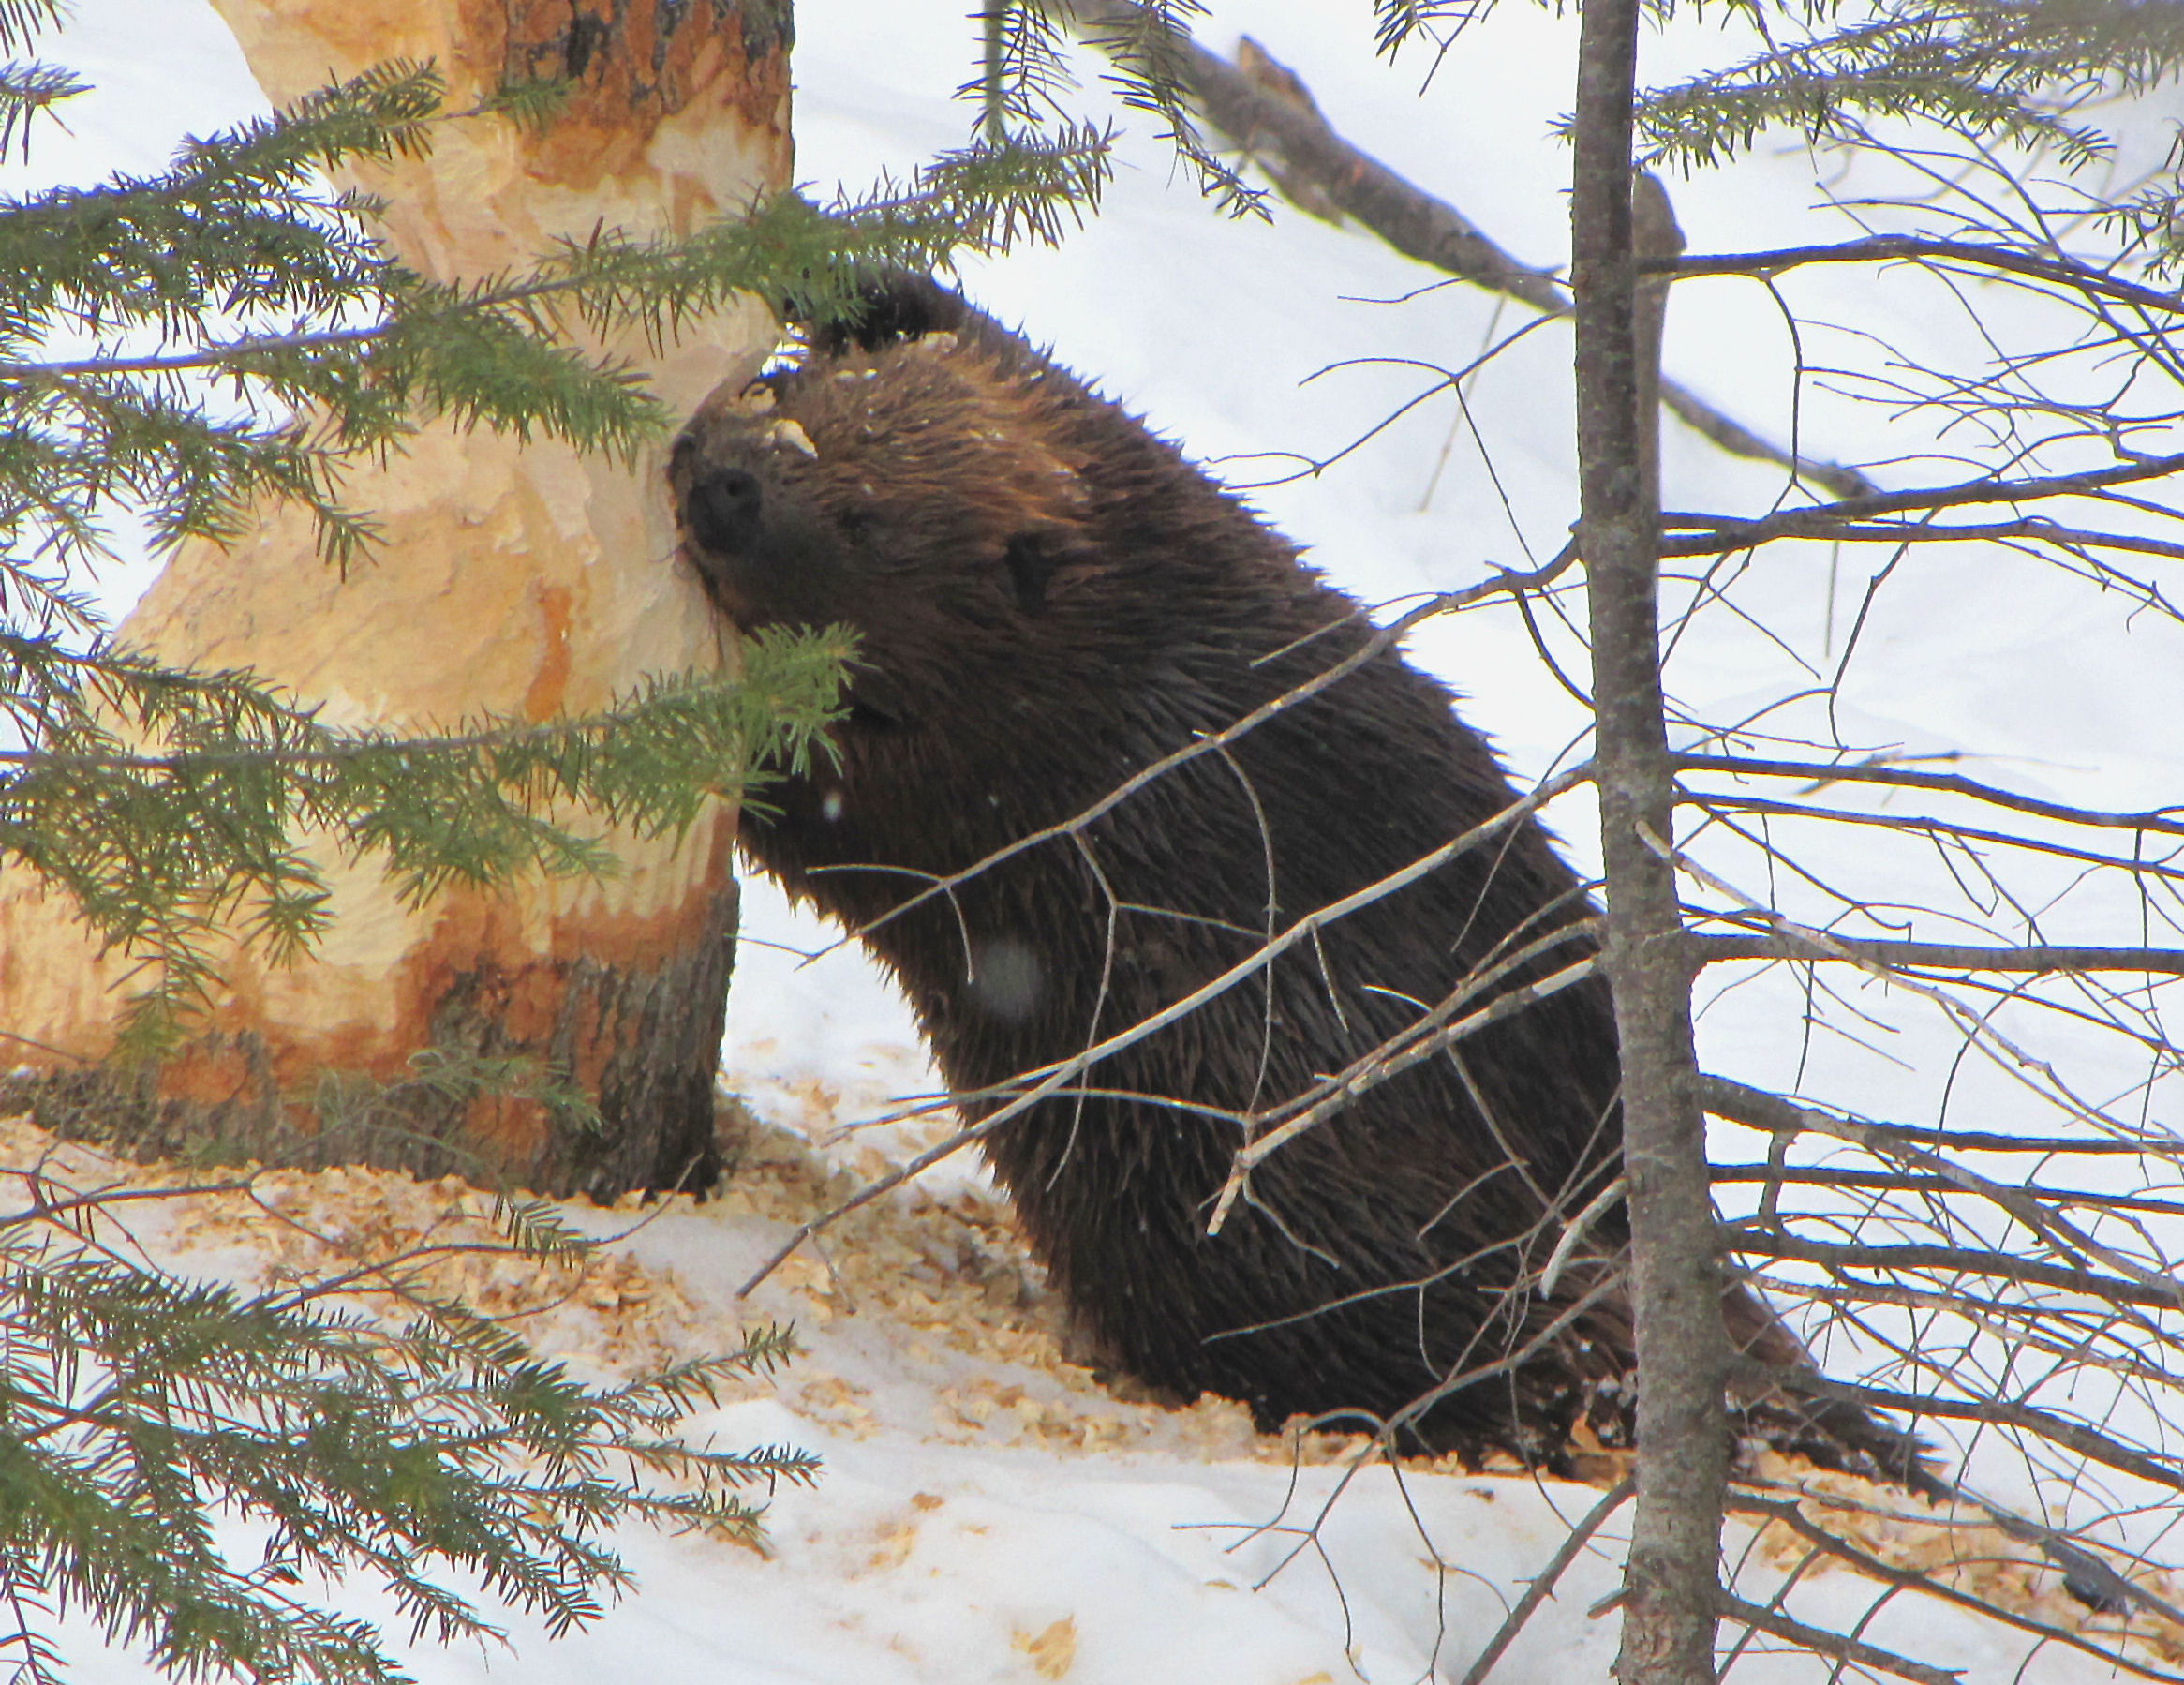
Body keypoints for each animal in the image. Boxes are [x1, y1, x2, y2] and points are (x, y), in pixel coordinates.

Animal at [668, 270, 1930, 1485]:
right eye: (795, 400)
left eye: (865, 520)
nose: (722, 485)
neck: (1117, 652)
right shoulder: (1163, 509)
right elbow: (1047, 380)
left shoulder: (1002, 781)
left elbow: (830, 803)